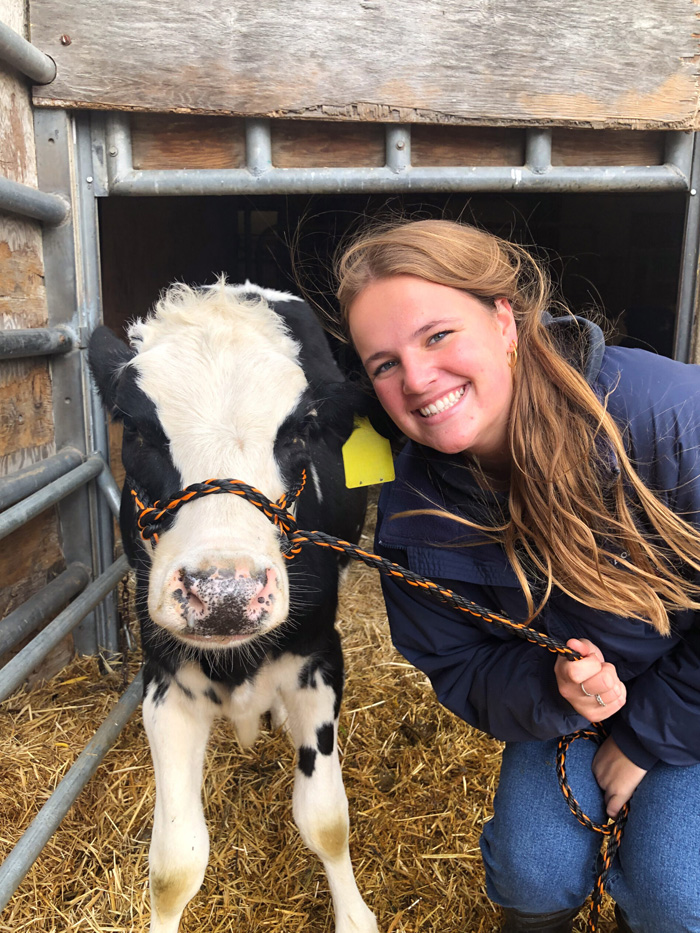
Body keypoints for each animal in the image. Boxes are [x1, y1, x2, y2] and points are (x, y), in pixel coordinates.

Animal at [88, 281, 377, 933]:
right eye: (136, 429)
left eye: (299, 431)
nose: (225, 595)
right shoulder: (164, 680)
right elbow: (174, 865)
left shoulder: (321, 659)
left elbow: (326, 820)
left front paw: (353, 915)